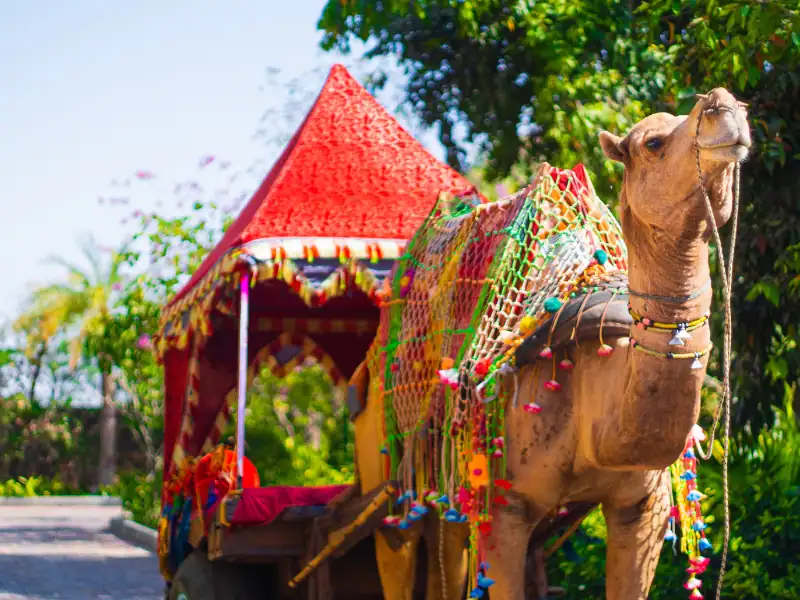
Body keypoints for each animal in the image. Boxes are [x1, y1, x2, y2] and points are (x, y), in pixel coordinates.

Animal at [352, 88, 750, 600]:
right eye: (654, 142)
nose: (725, 105)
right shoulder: (505, 503)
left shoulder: (643, 506)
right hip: (388, 464)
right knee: (398, 546)